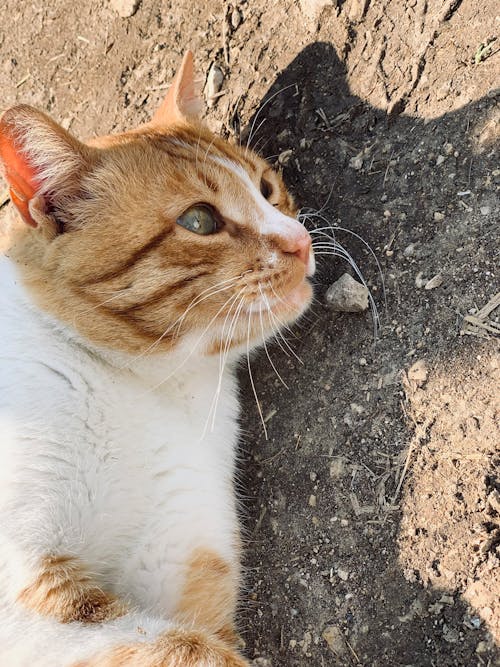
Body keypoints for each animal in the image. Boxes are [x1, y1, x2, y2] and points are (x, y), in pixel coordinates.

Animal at [0, 53, 314, 667]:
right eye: (199, 220)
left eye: (268, 188)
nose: (302, 241)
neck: (133, 386)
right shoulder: (26, 591)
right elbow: (189, 651)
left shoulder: (180, 552)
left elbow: (191, 638)